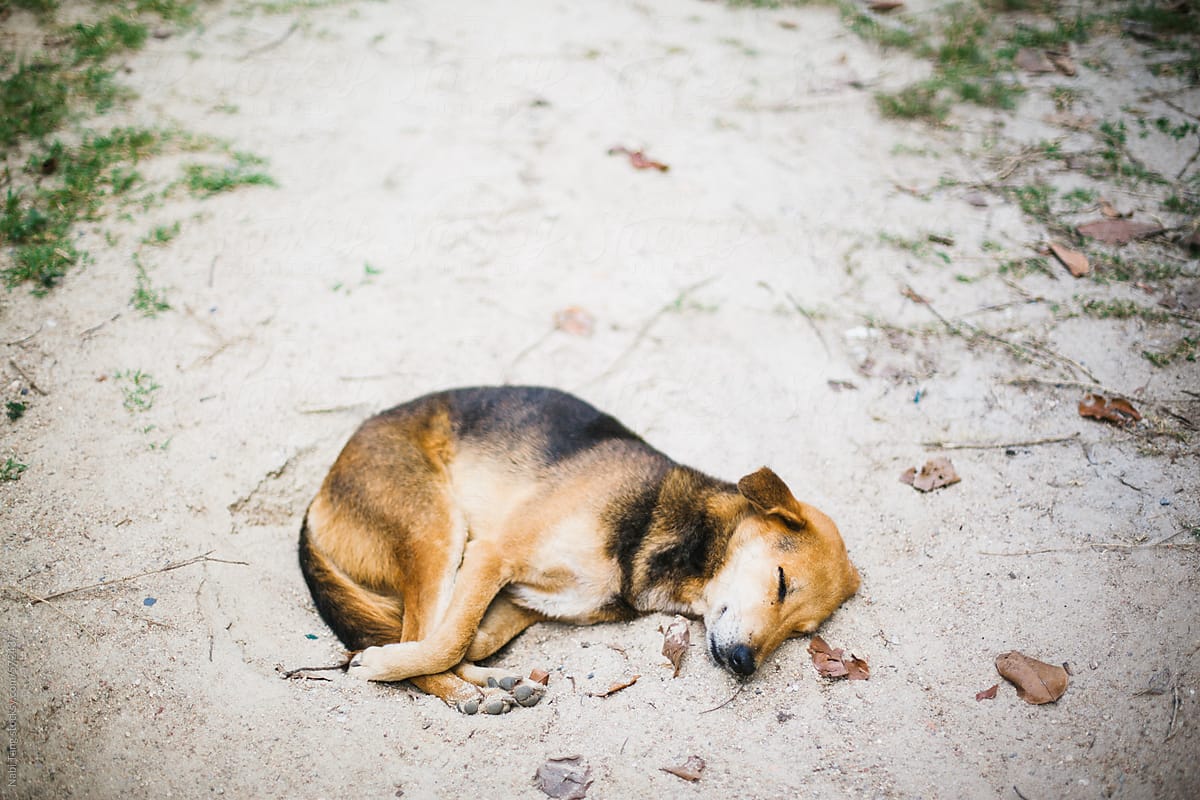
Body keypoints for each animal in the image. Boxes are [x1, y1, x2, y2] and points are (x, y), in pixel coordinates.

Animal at [302, 386, 864, 714]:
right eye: (781, 581)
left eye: (801, 633)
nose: (746, 665)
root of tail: (320, 492)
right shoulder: (491, 555)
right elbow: (448, 639)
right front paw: (382, 666)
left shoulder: (529, 599)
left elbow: (470, 639)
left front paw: (480, 667)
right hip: (436, 531)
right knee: (415, 630)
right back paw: (450, 688)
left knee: (420, 631)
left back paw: (493, 681)